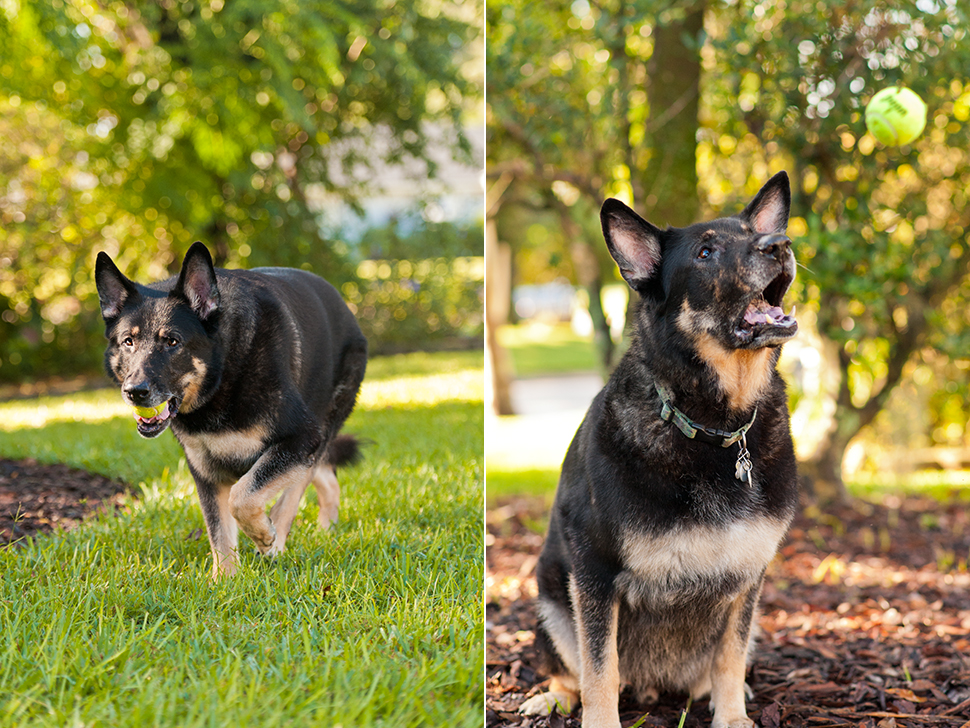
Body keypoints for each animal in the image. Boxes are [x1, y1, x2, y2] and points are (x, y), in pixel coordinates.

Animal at [94, 245, 366, 580]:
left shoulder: (301, 437)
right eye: (128, 342)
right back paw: (325, 528)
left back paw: (275, 541)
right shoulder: (205, 470)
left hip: (320, 429)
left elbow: (242, 496)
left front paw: (262, 535)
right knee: (323, 475)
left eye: (172, 341)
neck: (223, 375)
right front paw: (224, 580)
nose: (135, 392)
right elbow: (219, 532)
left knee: (297, 487)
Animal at [520, 173, 796, 724]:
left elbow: (730, 657)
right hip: (550, 593)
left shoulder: (747, 581)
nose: (779, 244)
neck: (714, 426)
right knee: (569, 667)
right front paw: (599, 721)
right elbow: (599, 668)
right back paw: (553, 696)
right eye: (706, 252)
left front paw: (732, 715)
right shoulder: (594, 572)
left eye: (756, 233)